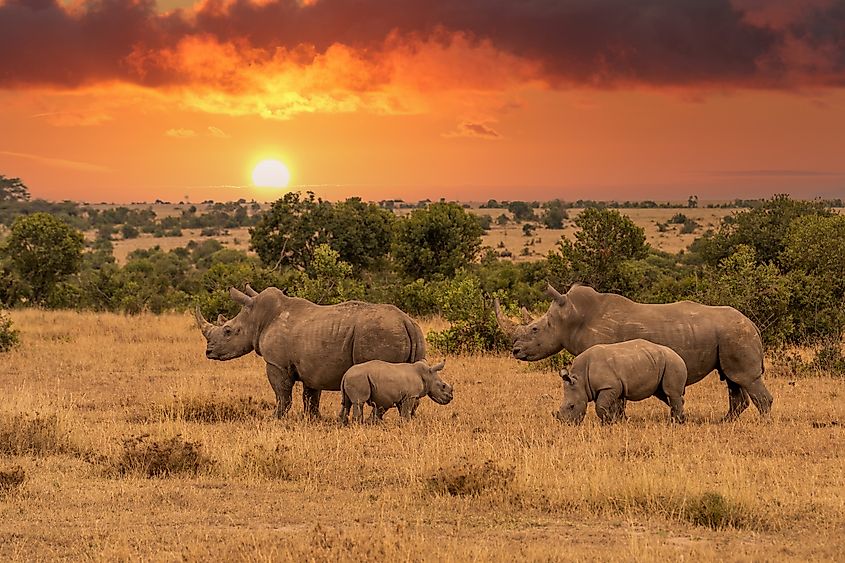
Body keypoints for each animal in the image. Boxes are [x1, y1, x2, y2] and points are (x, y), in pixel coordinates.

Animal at [195, 285, 426, 418]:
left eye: (228, 331)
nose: (208, 352)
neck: (257, 318)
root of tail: (406, 321)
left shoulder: (277, 363)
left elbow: (282, 394)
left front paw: (274, 418)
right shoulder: (313, 366)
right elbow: (311, 396)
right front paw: (312, 419)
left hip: (380, 333)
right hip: (413, 333)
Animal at [555, 339, 688, 425]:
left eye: (572, 406)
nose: (567, 424)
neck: (580, 379)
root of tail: (679, 356)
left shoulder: (608, 387)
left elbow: (600, 406)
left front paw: (608, 422)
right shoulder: (612, 388)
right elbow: (614, 407)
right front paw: (617, 421)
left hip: (672, 363)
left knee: (671, 393)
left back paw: (675, 423)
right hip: (661, 363)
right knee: (663, 394)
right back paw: (681, 419)